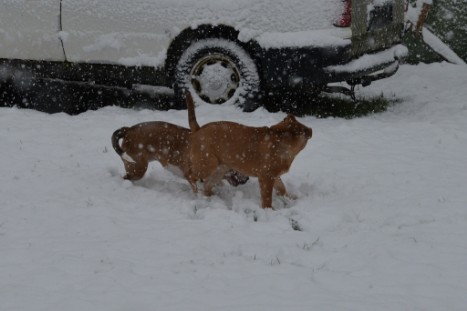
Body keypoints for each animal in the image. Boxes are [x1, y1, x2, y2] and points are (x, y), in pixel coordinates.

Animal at [186, 93, 314, 210]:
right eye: (303, 130)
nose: (310, 130)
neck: (281, 143)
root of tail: (198, 130)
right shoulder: (266, 177)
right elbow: (267, 197)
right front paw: (269, 211)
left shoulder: (275, 176)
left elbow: (282, 188)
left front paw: (290, 199)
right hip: (207, 165)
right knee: (191, 176)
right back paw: (196, 193)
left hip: (219, 170)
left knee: (207, 185)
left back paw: (212, 198)